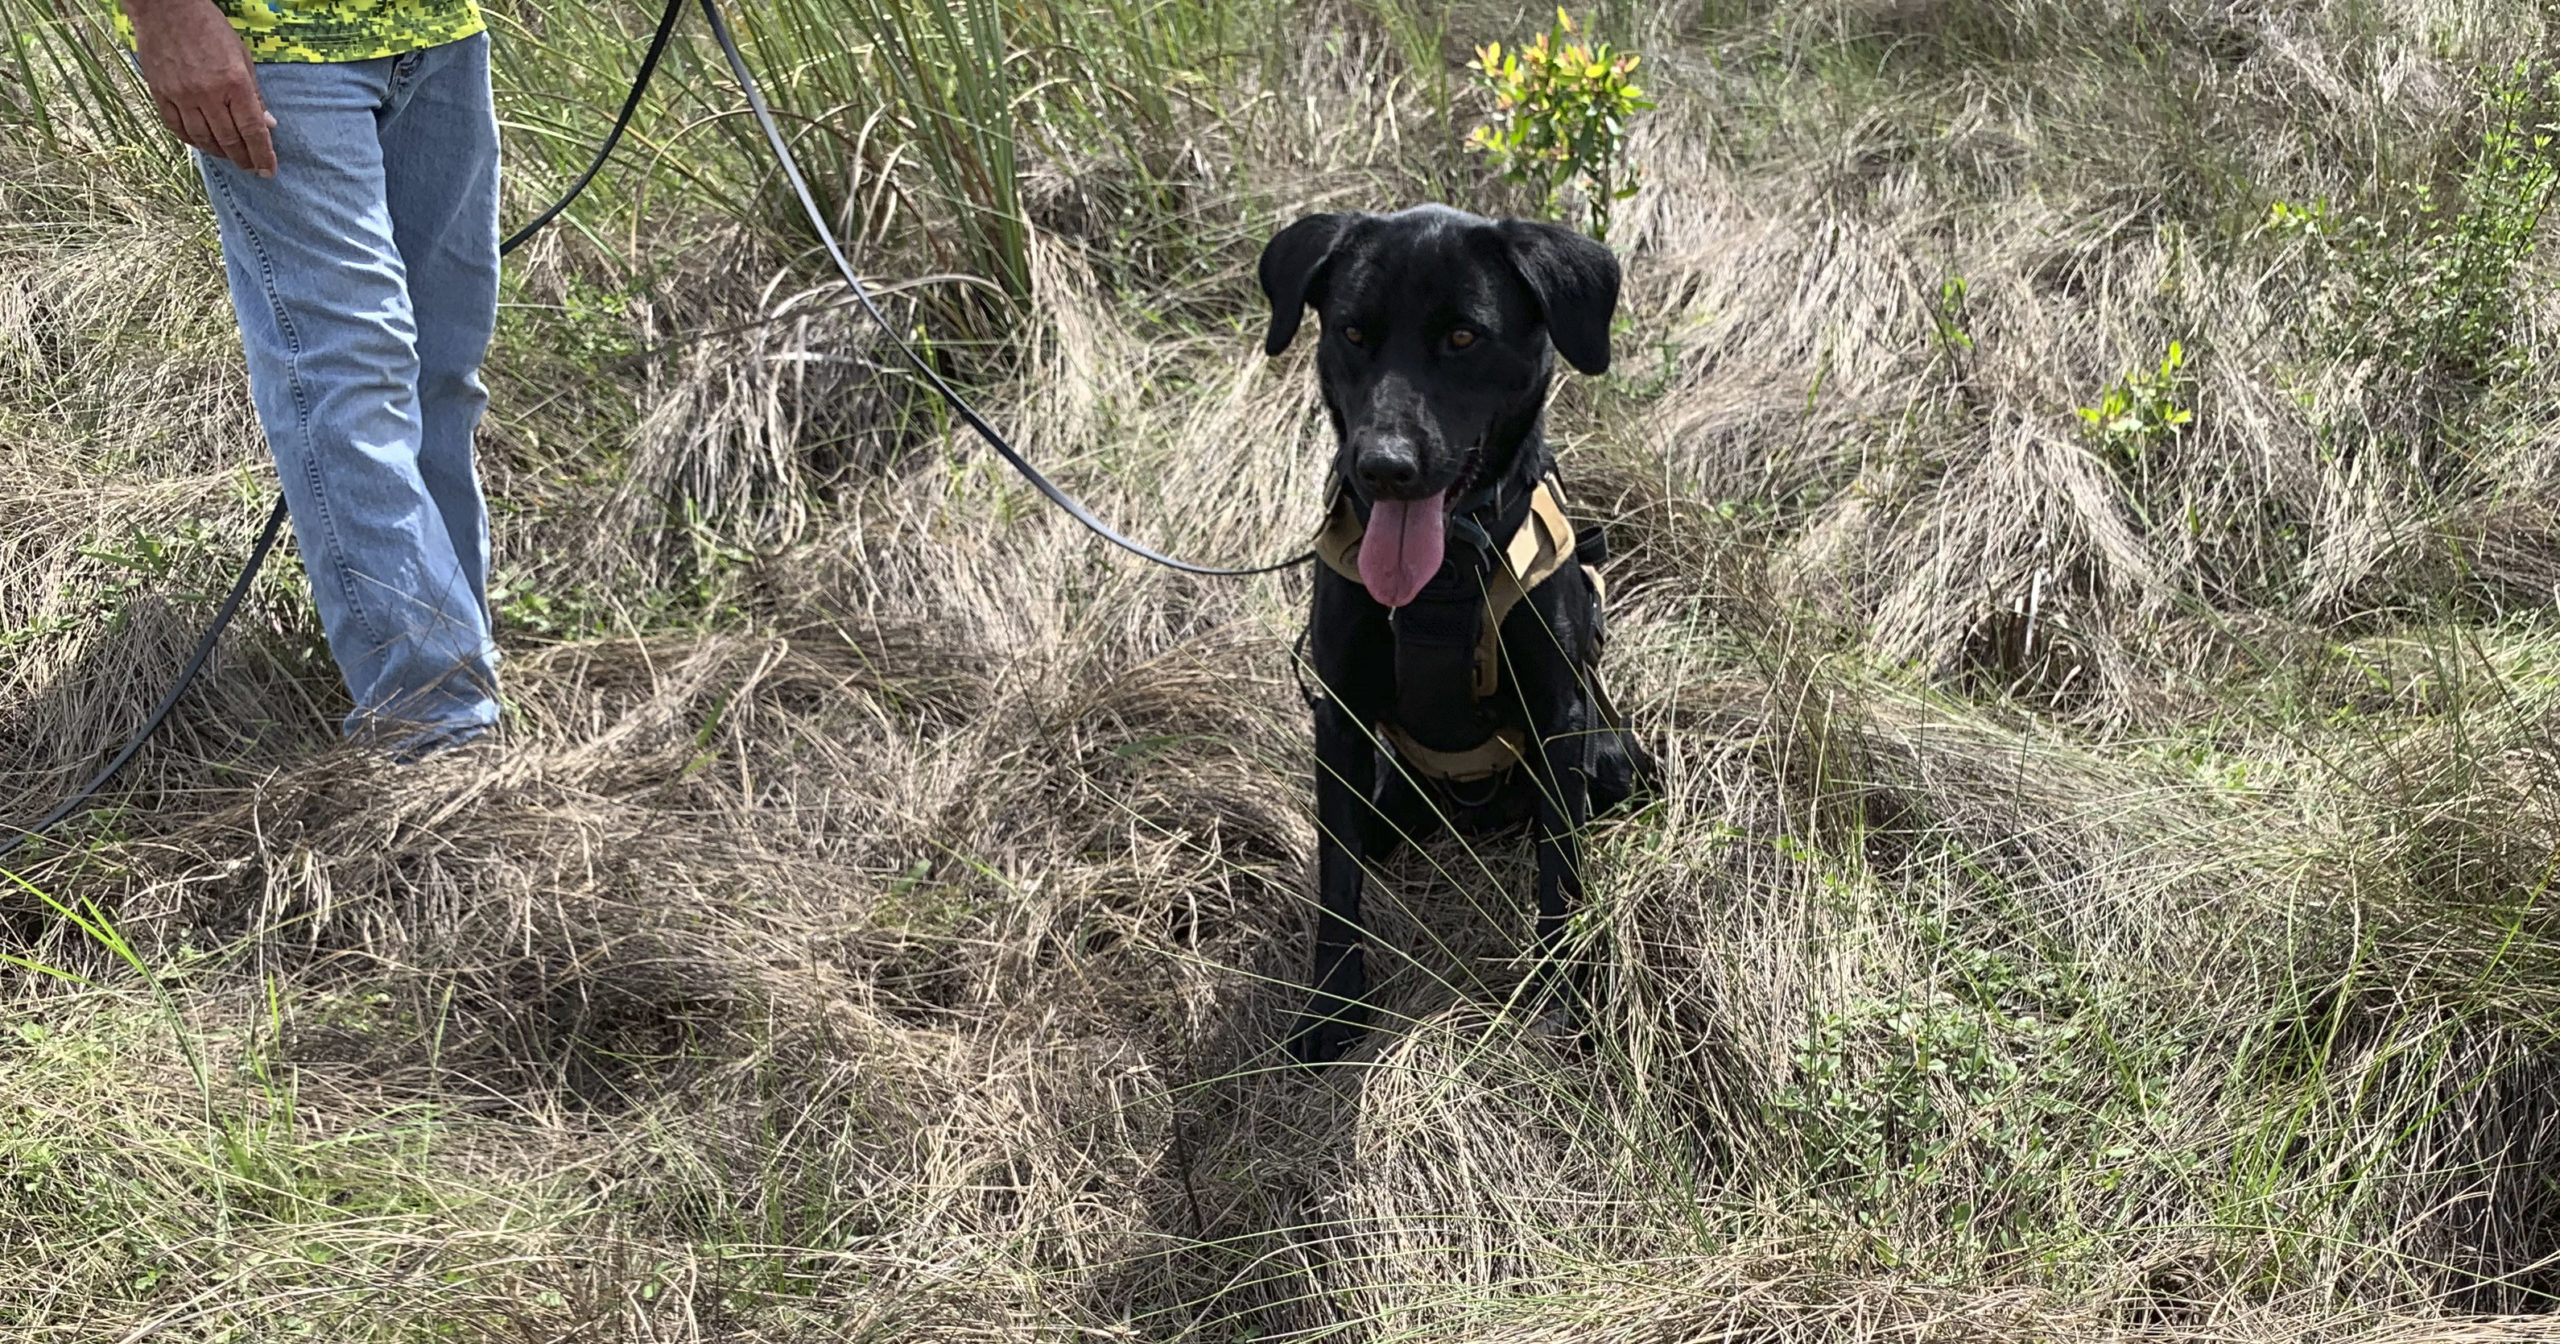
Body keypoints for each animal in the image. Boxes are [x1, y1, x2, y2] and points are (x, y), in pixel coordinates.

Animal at [1254, 204, 1638, 1064]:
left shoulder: (1559, 719)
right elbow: (1337, 876)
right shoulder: (1339, 718)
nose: (1383, 467)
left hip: (1611, 760)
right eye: (1353, 333)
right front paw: (1333, 1007)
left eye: (1463, 337)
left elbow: (1559, 875)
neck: (1446, 576)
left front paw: (1559, 1000)